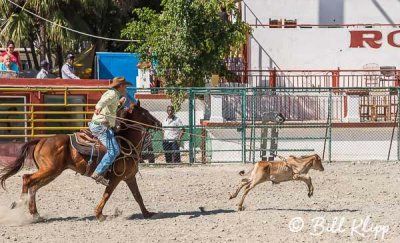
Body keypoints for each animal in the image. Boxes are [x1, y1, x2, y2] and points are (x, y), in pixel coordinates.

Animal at [0, 102, 162, 222]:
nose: (159, 123)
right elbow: (107, 194)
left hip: (52, 173)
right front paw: (99, 215)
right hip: (49, 170)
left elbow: (138, 196)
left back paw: (35, 214)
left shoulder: (129, 177)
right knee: (26, 178)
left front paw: (148, 213)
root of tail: (41, 140)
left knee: (33, 187)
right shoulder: (116, 177)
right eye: (144, 112)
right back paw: (20, 202)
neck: (126, 143)